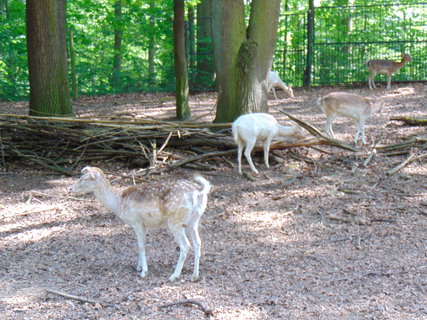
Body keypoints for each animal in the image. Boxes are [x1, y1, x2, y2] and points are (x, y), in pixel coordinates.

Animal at [69, 166, 211, 282]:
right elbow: (140, 244)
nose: (70, 188)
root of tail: (198, 192)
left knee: (185, 245)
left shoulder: (136, 221)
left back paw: (174, 275)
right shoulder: (143, 224)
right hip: (193, 220)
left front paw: (144, 272)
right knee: (197, 242)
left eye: (85, 178)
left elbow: (141, 246)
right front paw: (138, 267)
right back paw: (194, 276)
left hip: (176, 221)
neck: (118, 203)